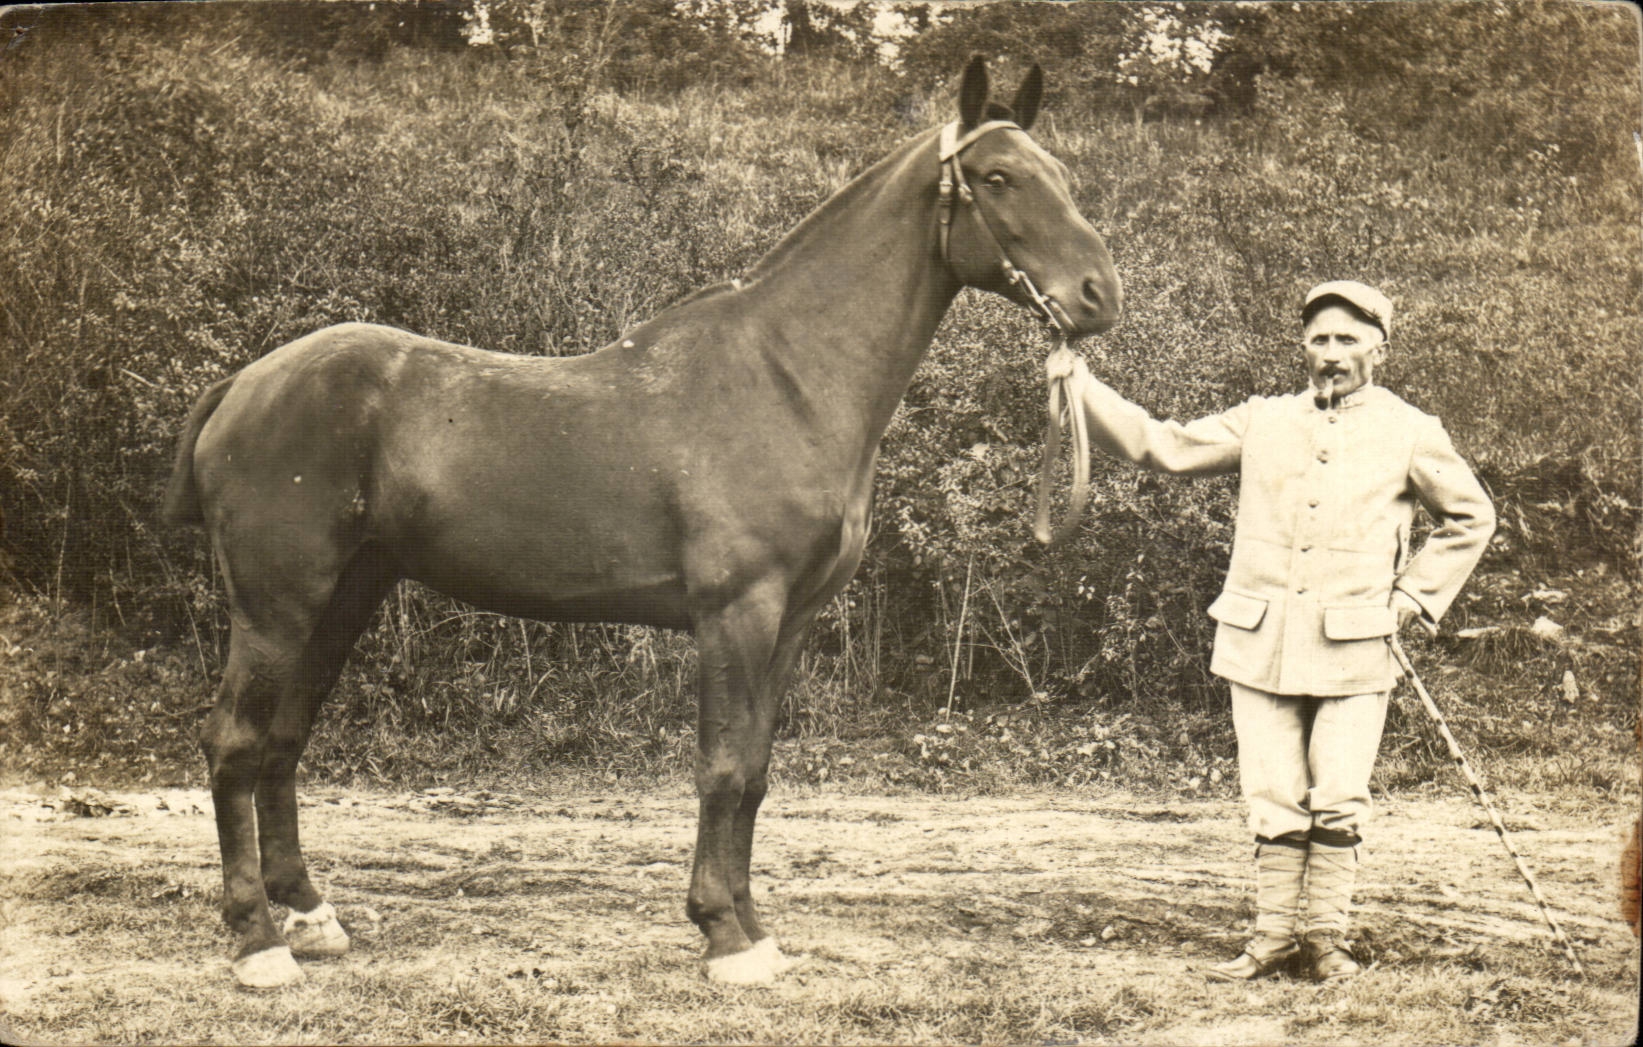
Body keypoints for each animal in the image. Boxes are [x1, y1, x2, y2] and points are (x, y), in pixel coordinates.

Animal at [162, 57, 1121, 989]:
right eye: (997, 177)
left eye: (1061, 174)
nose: (1098, 296)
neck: (787, 378)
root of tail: (245, 383)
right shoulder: (735, 614)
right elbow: (721, 767)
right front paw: (724, 935)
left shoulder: (791, 622)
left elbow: (755, 772)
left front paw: (753, 928)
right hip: (277, 607)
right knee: (234, 742)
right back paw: (258, 942)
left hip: (344, 598)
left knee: (284, 737)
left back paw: (309, 914)